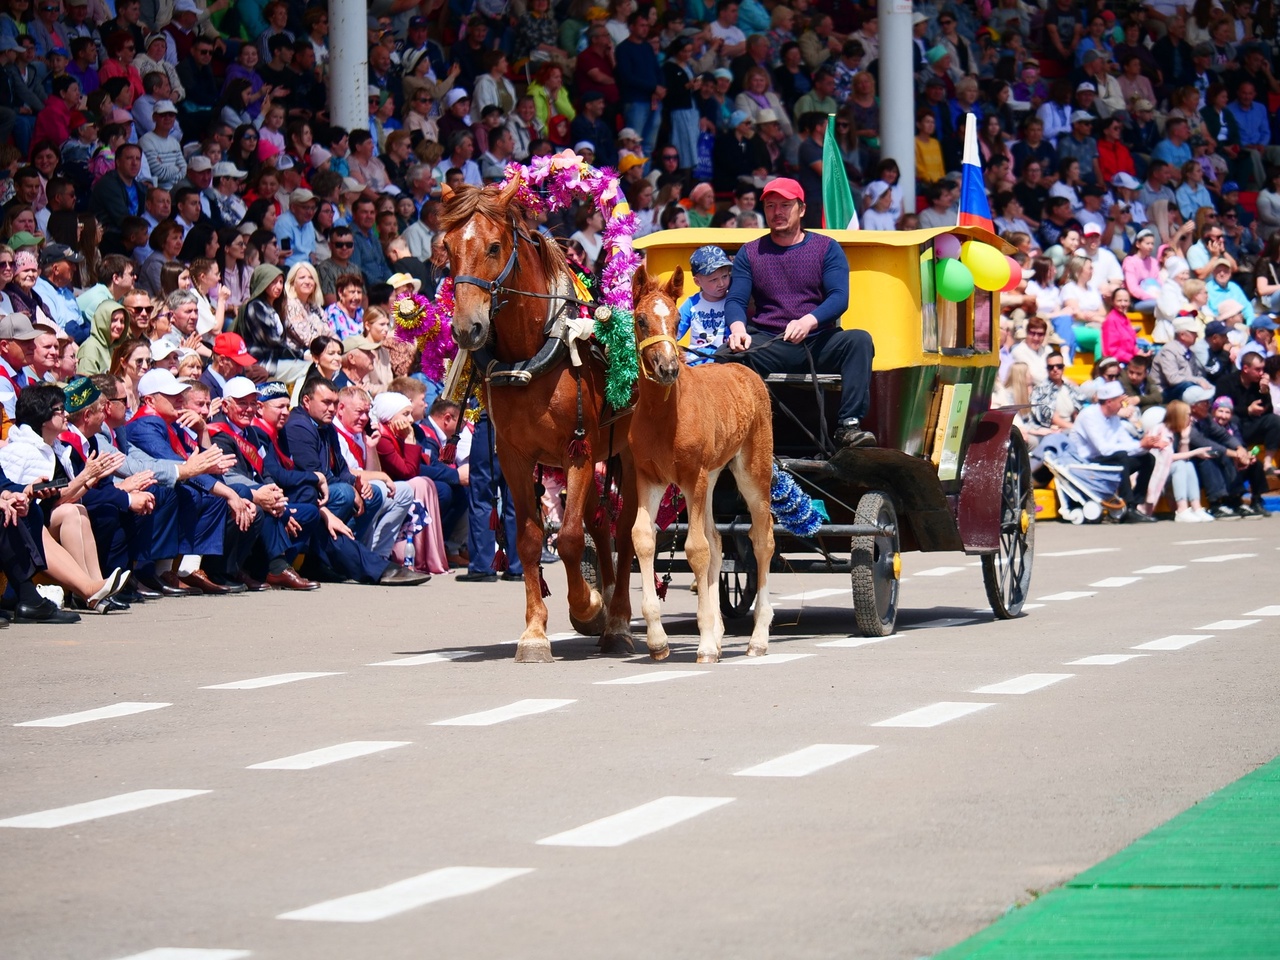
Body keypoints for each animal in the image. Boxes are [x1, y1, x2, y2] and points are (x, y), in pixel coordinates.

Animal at [442, 176, 637, 665]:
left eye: (494, 246)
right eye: (447, 248)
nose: (467, 329)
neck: (532, 350)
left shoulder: (579, 449)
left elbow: (566, 538)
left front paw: (586, 605)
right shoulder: (515, 456)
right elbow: (530, 540)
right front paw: (534, 633)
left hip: (626, 455)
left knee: (626, 530)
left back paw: (618, 621)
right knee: (600, 522)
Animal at [627, 267, 773, 665]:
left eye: (678, 320)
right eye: (641, 319)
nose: (667, 368)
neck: (662, 416)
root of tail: (746, 371)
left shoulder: (694, 477)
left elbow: (695, 549)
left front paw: (706, 643)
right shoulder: (649, 478)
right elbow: (644, 538)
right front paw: (658, 641)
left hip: (752, 473)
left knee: (762, 540)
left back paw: (758, 638)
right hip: (712, 478)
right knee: (718, 540)